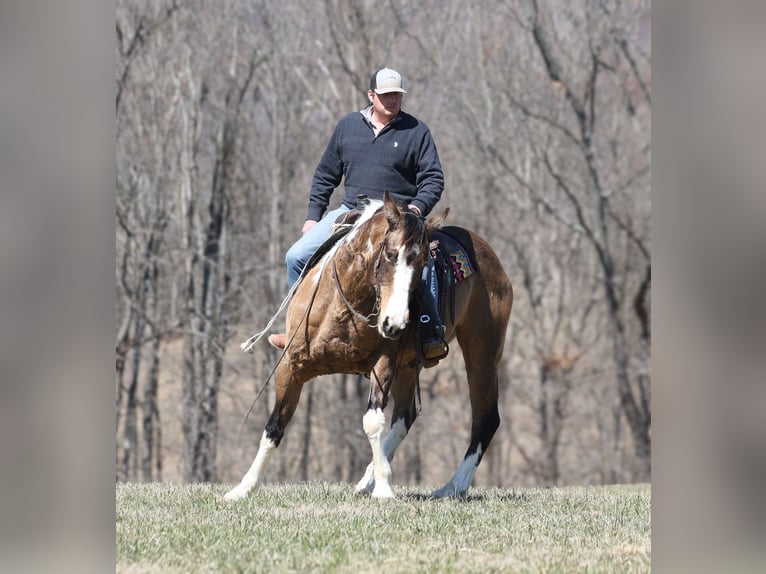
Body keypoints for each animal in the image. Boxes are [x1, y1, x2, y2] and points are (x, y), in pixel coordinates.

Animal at [228, 192, 516, 500]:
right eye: (389, 254)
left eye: (423, 262)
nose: (395, 323)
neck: (342, 306)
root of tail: (489, 254)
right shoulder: (290, 365)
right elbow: (274, 426)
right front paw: (244, 487)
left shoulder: (383, 362)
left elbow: (372, 421)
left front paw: (384, 488)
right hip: (410, 365)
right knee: (405, 417)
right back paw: (368, 479)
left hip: (482, 354)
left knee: (485, 418)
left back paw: (451, 486)